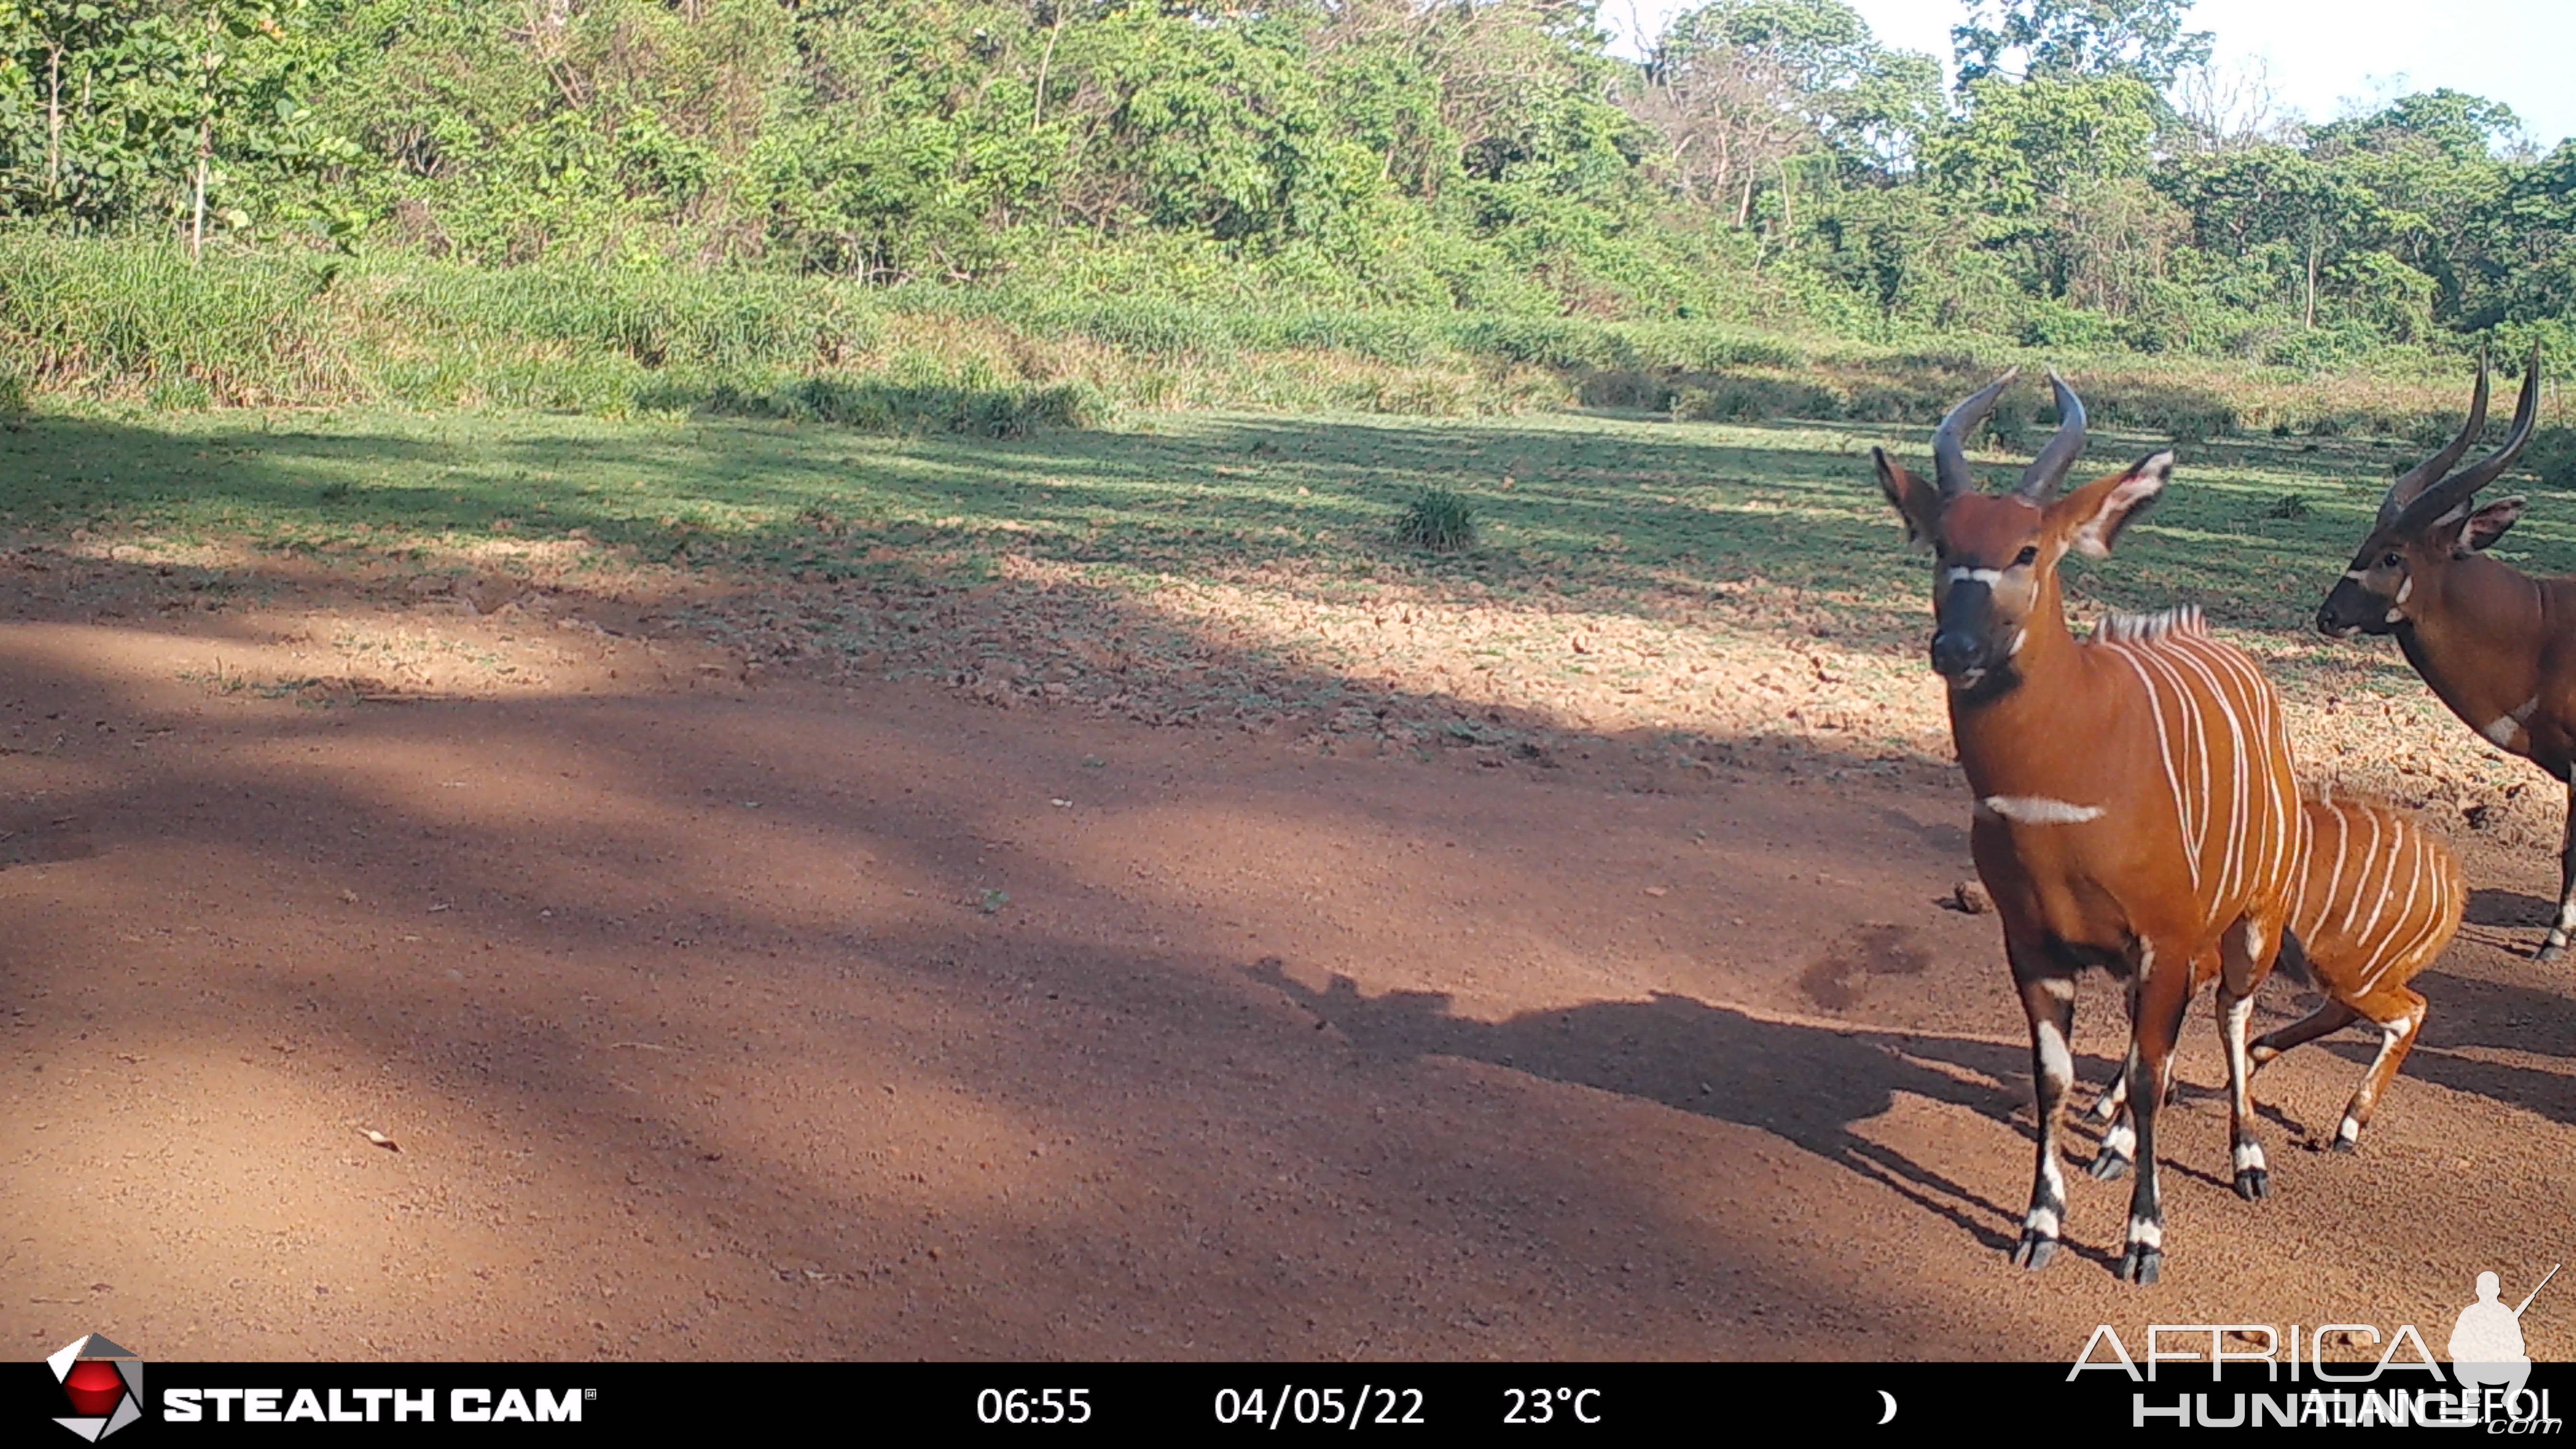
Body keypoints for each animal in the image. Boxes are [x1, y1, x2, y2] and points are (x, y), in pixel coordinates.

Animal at [1875, 379, 2318, 1278]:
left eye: (2028, 551)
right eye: (1942, 545)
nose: (1955, 646)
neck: (2060, 787)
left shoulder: (2165, 938)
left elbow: (2154, 1075)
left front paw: (2143, 1238)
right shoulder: (2036, 943)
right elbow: (2053, 1075)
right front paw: (2039, 1223)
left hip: (2253, 920)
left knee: (2229, 1016)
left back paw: (2246, 1158)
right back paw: (2111, 1139)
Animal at [2081, 789, 2462, 1150]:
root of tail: (2451, 883)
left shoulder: (2195, 961)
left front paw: (2112, 1105)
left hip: (2352, 977)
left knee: (2410, 1012)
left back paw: (2348, 1128)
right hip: (2347, 977)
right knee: (2343, 1012)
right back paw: (2253, 1058)